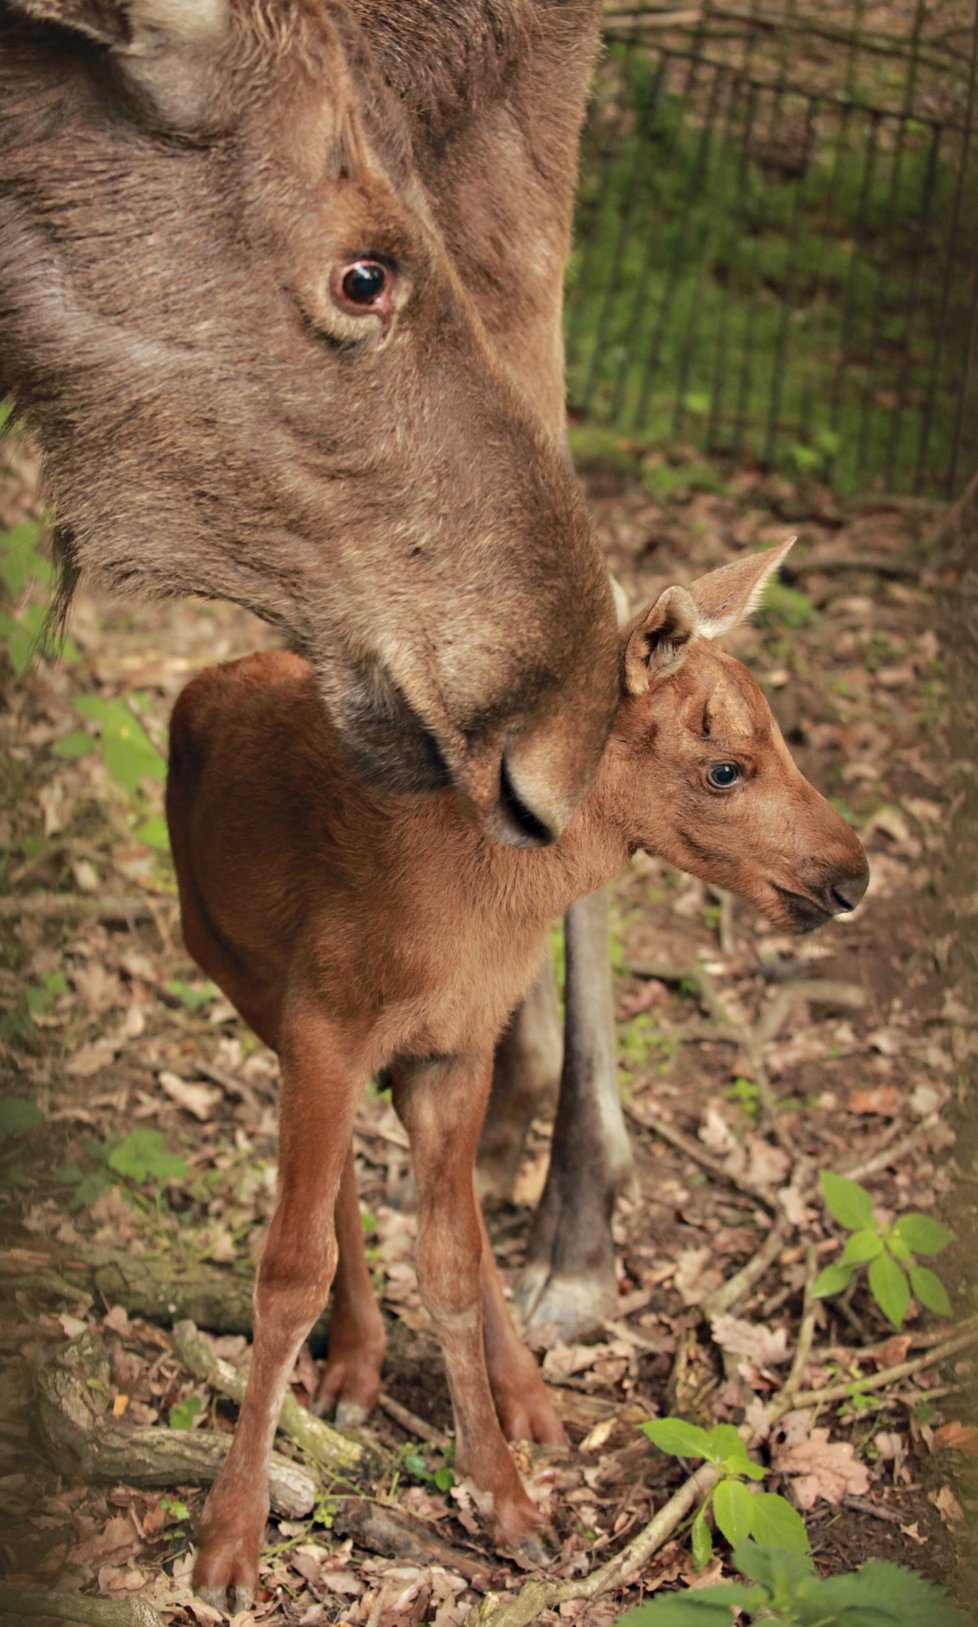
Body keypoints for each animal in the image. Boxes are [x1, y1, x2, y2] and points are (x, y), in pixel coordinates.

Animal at [170, 540, 872, 1607]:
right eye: (724, 768)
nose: (852, 874)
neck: (469, 905)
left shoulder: (455, 1044)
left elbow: (453, 1258)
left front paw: (508, 1498)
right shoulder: (322, 1022)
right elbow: (290, 1268)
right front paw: (229, 1543)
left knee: (446, 1199)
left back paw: (523, 1388)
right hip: (242, 978)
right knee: (338, 1189)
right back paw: (360, 1363)